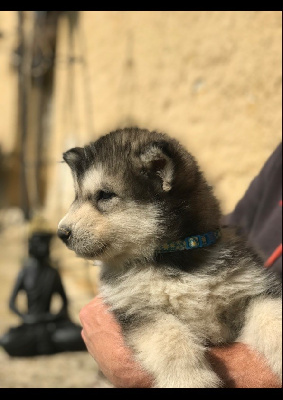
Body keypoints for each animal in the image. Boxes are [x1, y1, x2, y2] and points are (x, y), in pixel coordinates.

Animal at [57, 128, 282, 388]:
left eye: (105, 195)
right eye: (76, 197)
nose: (61, 233)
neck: (174, 256)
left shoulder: (252, 290)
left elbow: (273, 317)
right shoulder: (138, 309)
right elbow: (169, 338)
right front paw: (189, 380)